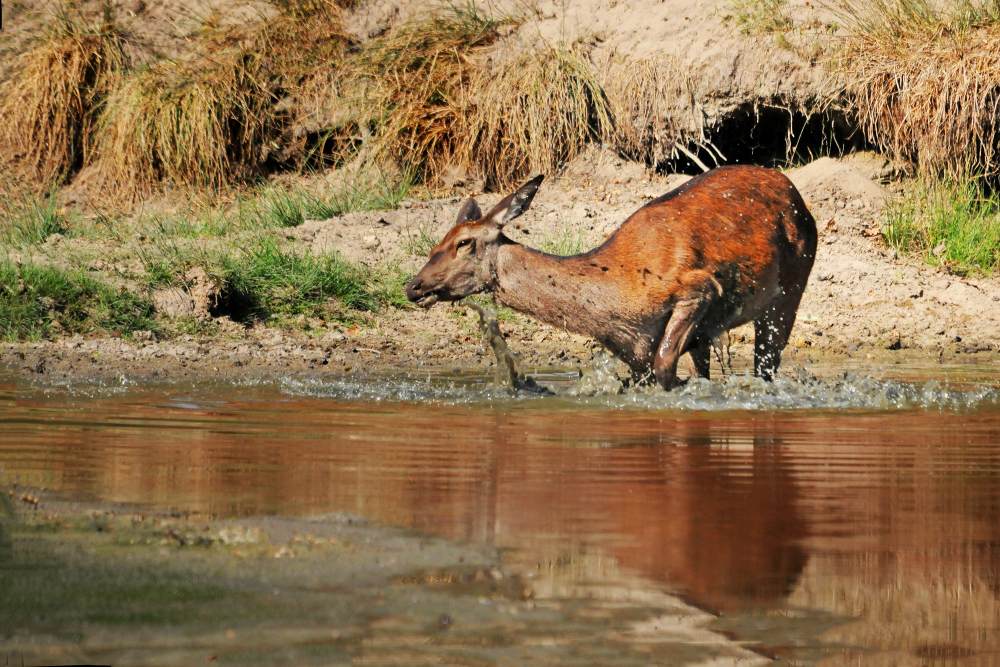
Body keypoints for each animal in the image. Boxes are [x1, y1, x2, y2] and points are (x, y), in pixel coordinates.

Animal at [406, 165, 820, 392]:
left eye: (463, 242)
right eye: (436, 242)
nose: (413, 286)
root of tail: (796, 193)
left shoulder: (698, 289)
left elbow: (666, 365)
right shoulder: (636, 353)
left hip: (792, 285)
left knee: (767, 364)